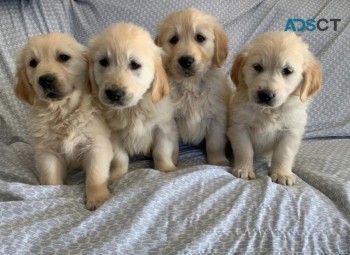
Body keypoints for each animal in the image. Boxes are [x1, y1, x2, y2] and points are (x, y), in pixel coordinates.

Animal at [14, 32, 113, 210]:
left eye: (63, 57)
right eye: (33, 63)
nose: (45, 79)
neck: (62, 111)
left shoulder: (97, 145)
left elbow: (95, 175)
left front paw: (98, 198)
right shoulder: (48, 151)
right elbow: (50, 178)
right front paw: (52, 195)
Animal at [89, 22, 179, 182]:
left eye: (134, 64)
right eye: (103, 62)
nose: (114, 94)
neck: (133, 109)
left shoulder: (163, 127)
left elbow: (161, 152)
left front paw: (166, 170)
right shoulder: (114, 134)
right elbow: (120, 158)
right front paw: (116, 175)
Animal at [156, 8, 232, 165]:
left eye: (200, 38)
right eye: (173, 39)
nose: (185, 60)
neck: (190, 84)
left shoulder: (217, 119)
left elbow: (215, 144)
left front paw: (218, 161)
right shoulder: (170, 120)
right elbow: (169, 146)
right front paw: (171, 163)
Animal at [228, 31, 322, 185]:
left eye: (287, 71)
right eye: (257, 67)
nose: (265, 95)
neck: (268, 111)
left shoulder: (290, 131)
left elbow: (283, 154)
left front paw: (282, 173)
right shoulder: (239, 126)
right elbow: (245, 150)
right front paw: (244, 169)